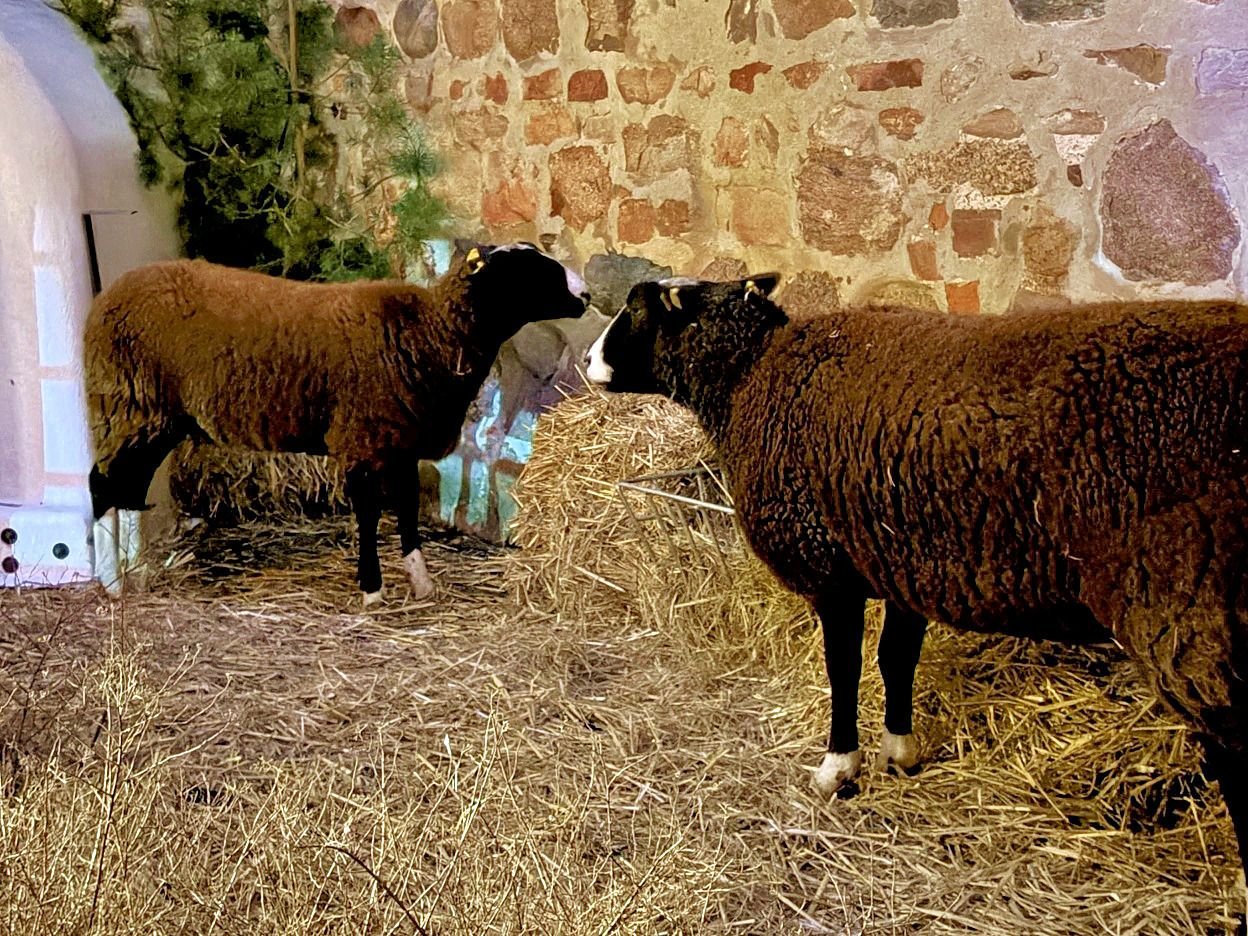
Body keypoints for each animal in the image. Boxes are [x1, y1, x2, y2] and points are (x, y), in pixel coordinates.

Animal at [86, 243, 591, 602]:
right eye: (528, 272)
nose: (585, 295)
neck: (431, 334)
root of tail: (106, 299)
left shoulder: (400, 441)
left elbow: (407, 511)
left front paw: (421, 582)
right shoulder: (363, 439)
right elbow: (369, 515)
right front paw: (372, 591)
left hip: (152, 415)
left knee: (126, 489)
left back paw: (137, 573)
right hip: (131, 404)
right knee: (102, 485)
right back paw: (112, 583)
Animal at [585, 273, 1248, 879]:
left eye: (635, 310)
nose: (589, 362)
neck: (750, 378)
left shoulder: (830, 564)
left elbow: (844, 667)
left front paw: (838, 767)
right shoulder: (905, 559)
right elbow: (895, 659)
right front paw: (900, 753)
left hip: (1190, 609)